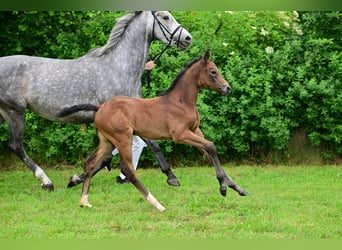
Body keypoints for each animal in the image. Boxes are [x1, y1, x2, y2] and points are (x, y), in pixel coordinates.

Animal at [0, 10, 192, 190]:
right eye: (165, 17)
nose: (188, 38)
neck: (118, 68)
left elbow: (119, 151)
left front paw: (77, 179)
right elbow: (146, 144)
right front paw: (171, 176)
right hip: (15, 111)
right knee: (16, 146)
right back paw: (46, 182)